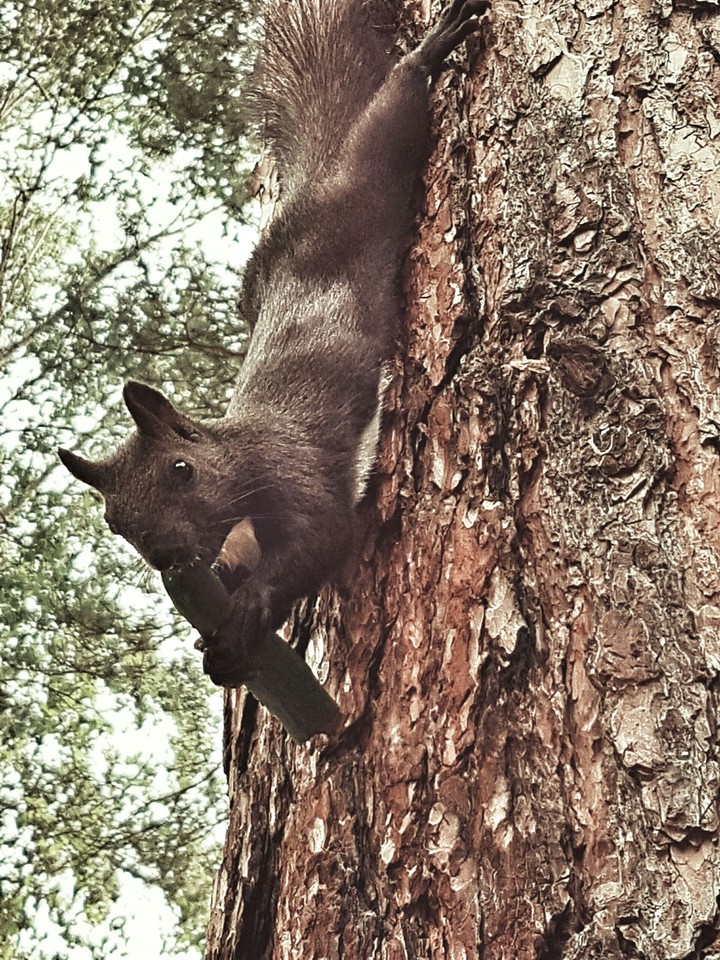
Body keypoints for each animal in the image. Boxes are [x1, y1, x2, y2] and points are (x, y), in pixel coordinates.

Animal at [58, 0, 488, 687]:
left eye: (181, 470)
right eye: (114, 523)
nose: (168, 553)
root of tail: (309, 186)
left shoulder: (293, 470)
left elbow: (320, 539)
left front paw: (250, 609)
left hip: (364, 177)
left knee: (389, 117)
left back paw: (428, 53)